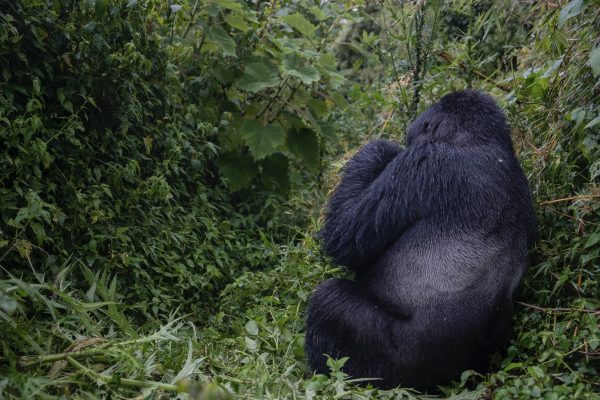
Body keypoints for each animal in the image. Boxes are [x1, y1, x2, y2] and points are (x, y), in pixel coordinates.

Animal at [308, 88, 536, 390]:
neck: (482, 140)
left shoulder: (423, 161)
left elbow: (343, 237)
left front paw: (380, 148)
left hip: (402, 368)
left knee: (329, 300)